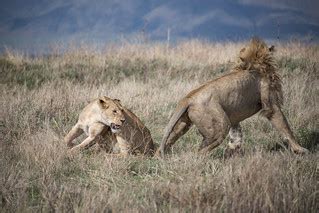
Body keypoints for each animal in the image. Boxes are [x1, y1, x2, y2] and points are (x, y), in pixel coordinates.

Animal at [158, 37, 310, 156]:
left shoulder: (234, 114)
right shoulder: (270, 103)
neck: (253, 64)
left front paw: (234, 149)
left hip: (183, 124)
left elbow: (236, 132)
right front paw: (300, 149)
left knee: (169, 140)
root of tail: (188, 99)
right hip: (220, 125)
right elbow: (284, 126)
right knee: (198, 152)